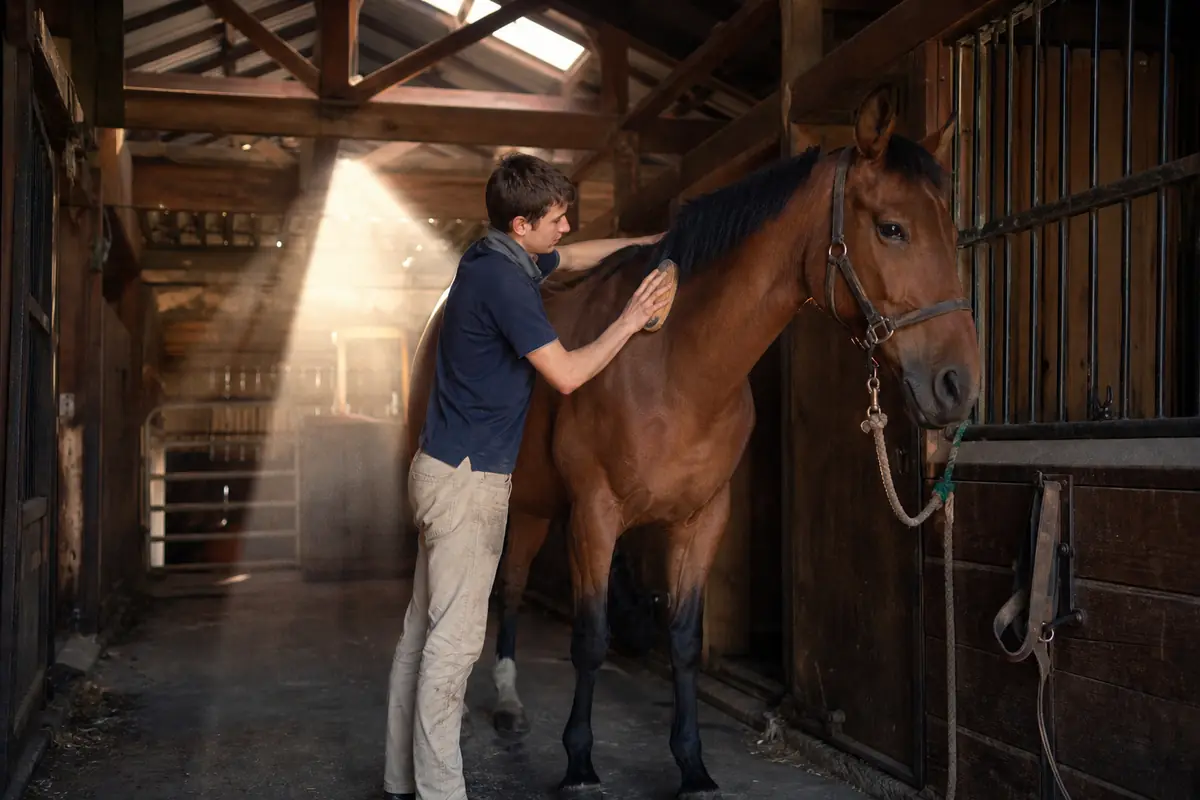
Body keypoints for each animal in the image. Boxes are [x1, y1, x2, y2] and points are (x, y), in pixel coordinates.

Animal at [402, 87, 981, 798]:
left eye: (951, 229)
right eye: (892, 228)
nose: (958, 384)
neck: (675, 366)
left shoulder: (703, 519)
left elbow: (682, 638)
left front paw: (692, 766)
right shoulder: (594, 515)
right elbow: (590, 638)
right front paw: (580, 764)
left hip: (533, 505)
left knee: (509, 587)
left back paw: (509, 704)